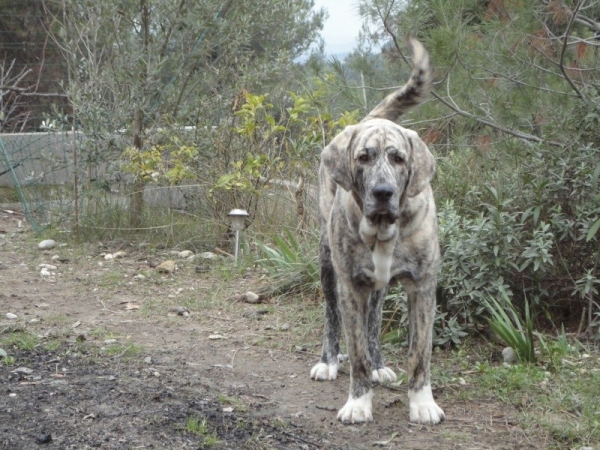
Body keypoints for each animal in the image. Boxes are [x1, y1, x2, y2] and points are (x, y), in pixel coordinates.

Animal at [310, 39, 446, 426]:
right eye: (363, 157)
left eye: (399, 158)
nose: (383, 192)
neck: (384, 228)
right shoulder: (350, 288)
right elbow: (355, 352)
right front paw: (358, 403)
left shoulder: (423, 289)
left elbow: (420, 353)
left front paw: (422, 402)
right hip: (327, 263)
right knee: (331, 317)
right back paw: (328, 361)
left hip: (381, 287)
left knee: (374, 322)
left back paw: (379, 365)